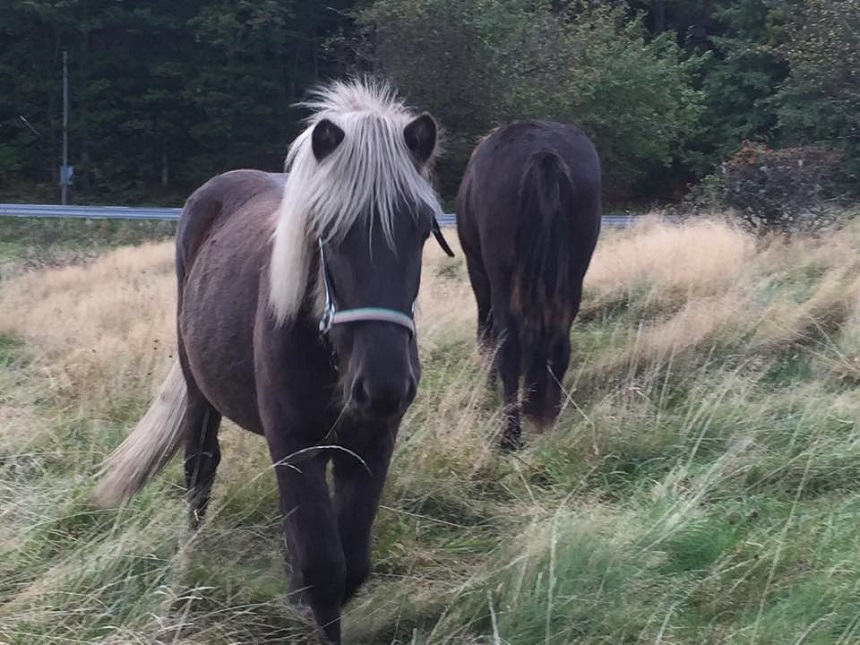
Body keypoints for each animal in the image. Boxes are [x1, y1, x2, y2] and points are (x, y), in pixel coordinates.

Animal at [90, 80, 454, 644]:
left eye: (420, 230)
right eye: (327, 231)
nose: (385, 387)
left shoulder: (370, 444)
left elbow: (349, 565)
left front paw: (301, 598)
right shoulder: (293, 442)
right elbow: (324, 567)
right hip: (199, 391)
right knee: (200, 465)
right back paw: (189, 557)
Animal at [454, 121, 600, 448]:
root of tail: (542, 152)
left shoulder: (479, 273)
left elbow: (487, 335)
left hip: (499, 279)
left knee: (507, 347)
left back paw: (509, 436)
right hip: (573, 277)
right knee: (560, 346)